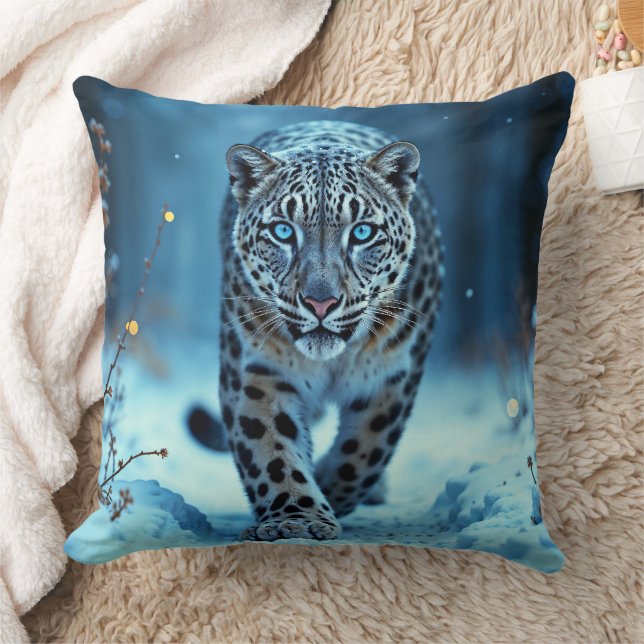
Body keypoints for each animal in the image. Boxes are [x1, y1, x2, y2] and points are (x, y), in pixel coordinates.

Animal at [190, 120, 443, 542]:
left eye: (361, 233)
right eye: (282, 231)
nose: (320, 303)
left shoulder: (392, 376)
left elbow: (364, 451)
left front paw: (327, 489)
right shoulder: (258, 372)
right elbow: (270, 450)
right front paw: (296, 518)